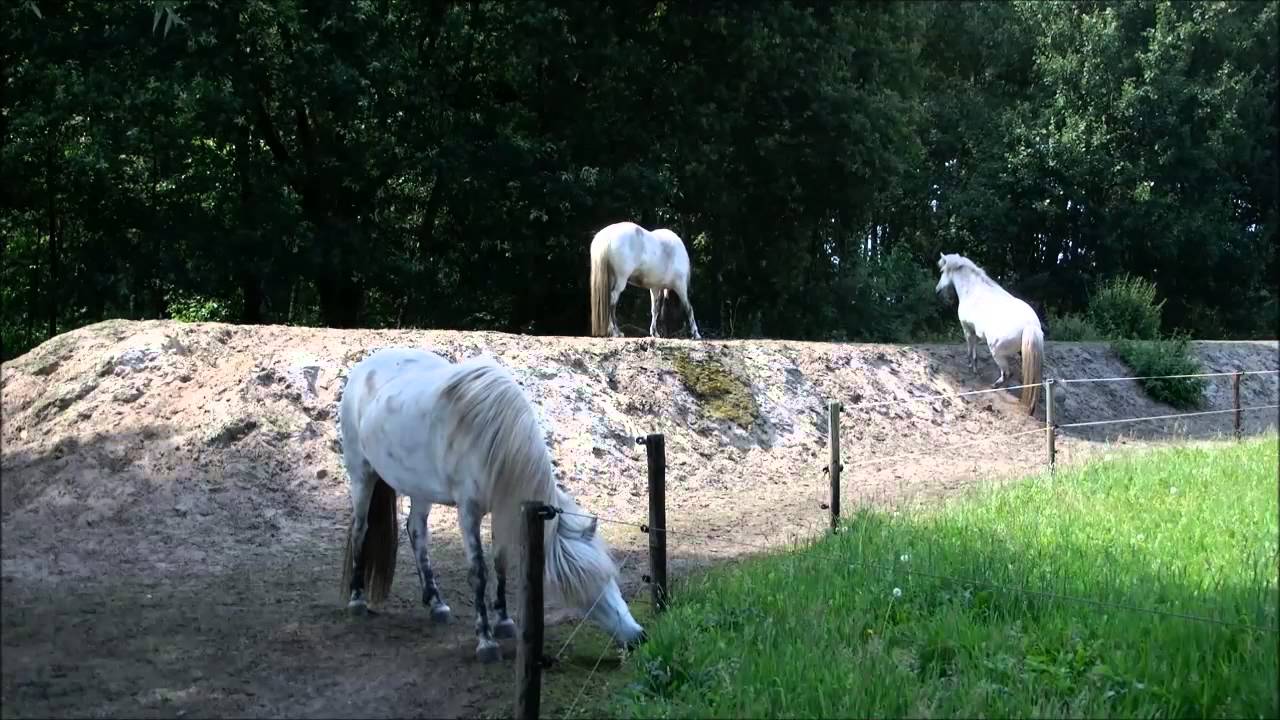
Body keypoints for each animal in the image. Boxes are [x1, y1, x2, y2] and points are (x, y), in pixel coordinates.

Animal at [337, 347, 646, 663]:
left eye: (610, 579)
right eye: (586, 591)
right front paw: (486, 641)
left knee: (416, 532)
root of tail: (366, 365)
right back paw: (357, 599)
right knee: (361, 529)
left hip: (420, 490)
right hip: (362, 475)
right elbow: (479, 572)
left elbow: (501, 563)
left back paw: (436, 603)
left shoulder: (502, 507)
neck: (493, 438)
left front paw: (504, 622)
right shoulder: (468, 512)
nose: (638, 636)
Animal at [934, 252, 1044, 414]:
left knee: (1007, 373)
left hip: (997, 353)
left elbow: (971, 350)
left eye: (942, 271)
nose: (937, 290)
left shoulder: (968, 330)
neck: (972, 291)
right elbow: (975, 351)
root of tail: (1031, 325)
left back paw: (994, 386)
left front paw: (971, 367)